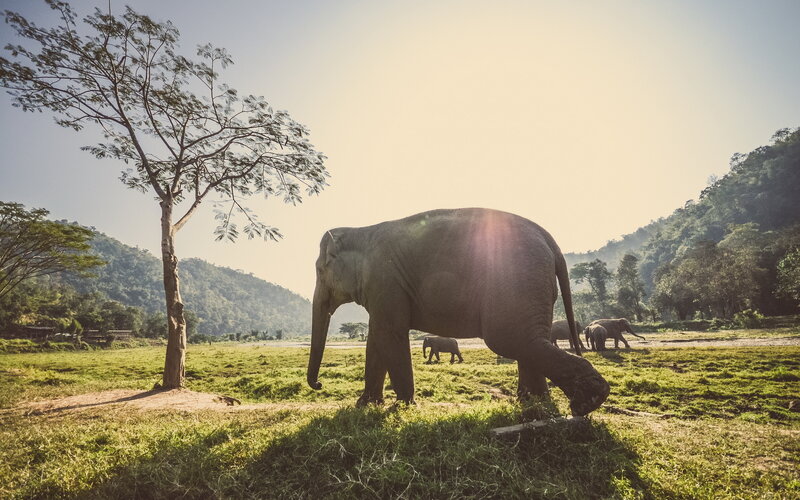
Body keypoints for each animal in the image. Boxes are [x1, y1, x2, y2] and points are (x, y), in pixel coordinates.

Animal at [307, 208, 610, 416]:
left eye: (320, 270)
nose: (319, 384)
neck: (360, 230)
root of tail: (550, 241)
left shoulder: (385, 281)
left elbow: (390, 333)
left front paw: (402, 406)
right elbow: (377, 339)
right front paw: (365, 405)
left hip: (518, 280)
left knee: (510, 338)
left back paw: (586, 402)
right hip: (535, 286)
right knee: (531, 339)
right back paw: (534, 405)